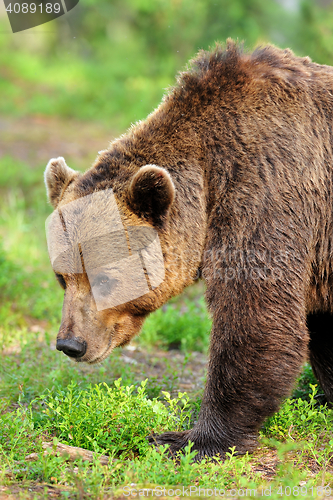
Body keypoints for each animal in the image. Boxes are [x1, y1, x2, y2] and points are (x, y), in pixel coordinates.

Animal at [45, 41, 332, 458]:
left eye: (104, 277)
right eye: (62, 278)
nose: (70, 343)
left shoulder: (270, 192)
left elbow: (255, 316)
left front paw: (190, 439)